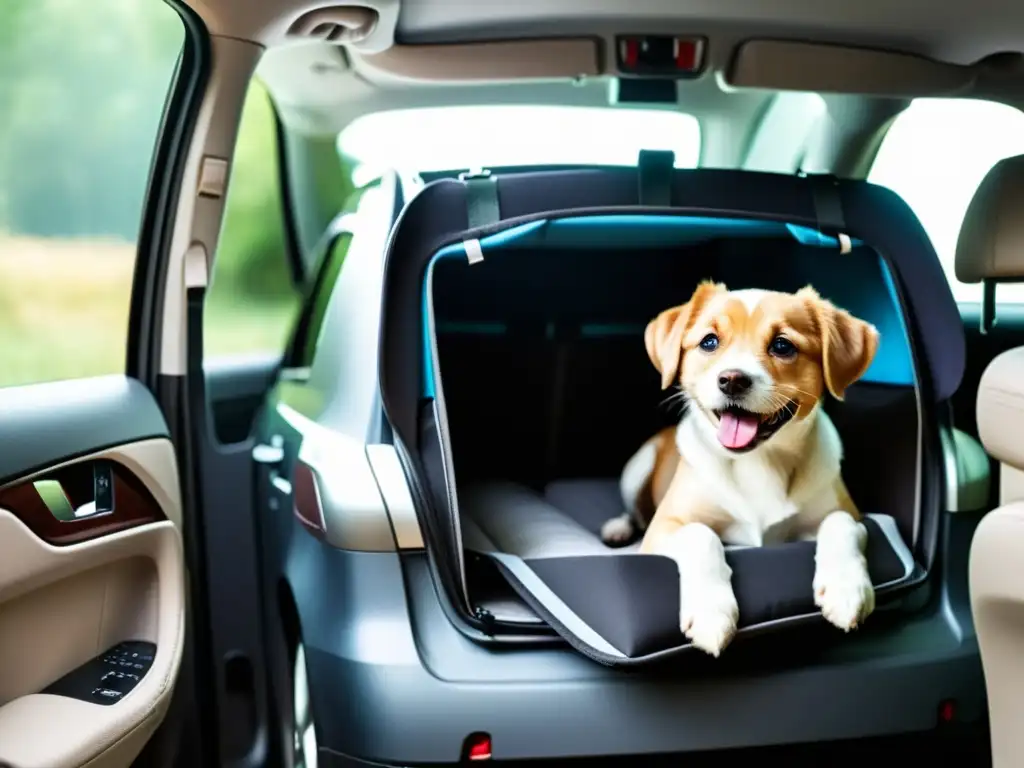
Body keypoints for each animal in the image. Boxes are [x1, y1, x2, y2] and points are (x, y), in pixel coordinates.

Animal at [598, 280, 880, 655]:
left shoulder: (852, 515)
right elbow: (700, 534)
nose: (732, 379)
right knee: (634, 512)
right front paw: (711, 614)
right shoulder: (665, 527)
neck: (759, 462)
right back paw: (617, 528)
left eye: (782, 345)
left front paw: (846, 590)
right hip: (637, 468)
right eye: (709, 342)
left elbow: (840, 523)